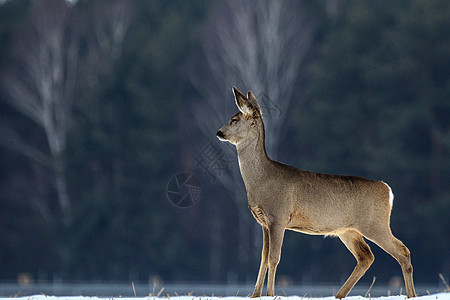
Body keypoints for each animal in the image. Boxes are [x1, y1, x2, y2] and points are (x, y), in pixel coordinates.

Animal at [216, 86, 416, 298]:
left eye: (234, 119)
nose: (219, 132)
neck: (262, 180)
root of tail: (387, 189)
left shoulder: (278, 216)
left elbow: (274, 257)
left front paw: (270, 294)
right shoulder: (263, 222)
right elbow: (262, 258)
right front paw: (254, 295)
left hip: (375, 223)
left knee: (402, 251)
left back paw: (411, 295)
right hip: (348, 230)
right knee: (366, 256)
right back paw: (339, 294)